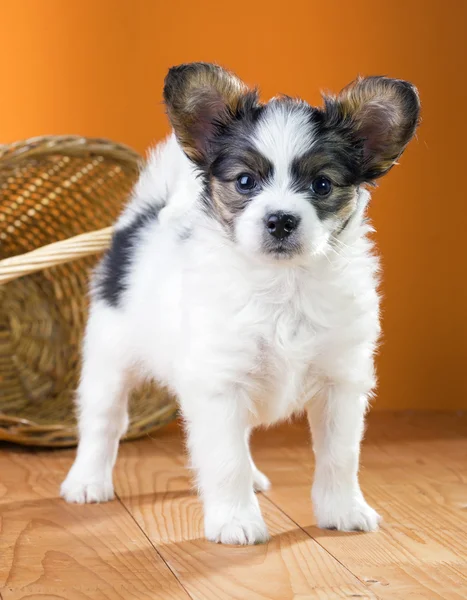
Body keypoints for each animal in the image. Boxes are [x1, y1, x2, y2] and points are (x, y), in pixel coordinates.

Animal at [60, 63, 422, 548]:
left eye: (322, 184)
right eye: (245, 181)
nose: (281, 220)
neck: (284, 285)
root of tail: (143, 218)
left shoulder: (341, 382)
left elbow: (340, 456)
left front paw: (343, 511)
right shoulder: (219, 383)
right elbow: (224, 459)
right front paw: (235, 522)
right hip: (109, 357)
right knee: (102, 422)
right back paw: (87, 482)